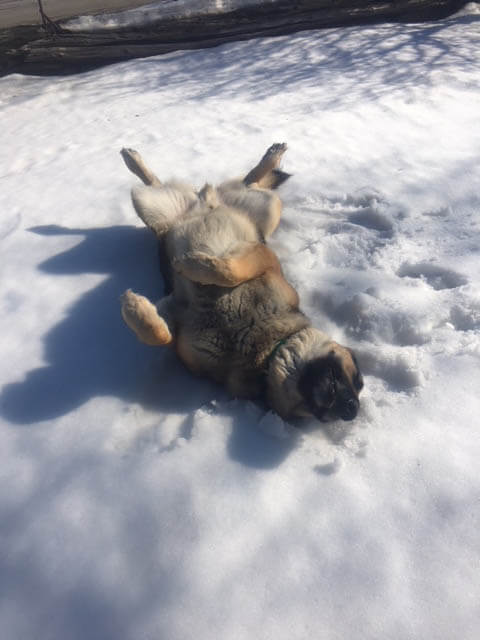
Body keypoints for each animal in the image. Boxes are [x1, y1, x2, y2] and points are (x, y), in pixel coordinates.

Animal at [118, 144, 362, 420]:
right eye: (356, 378)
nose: (353, 409)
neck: (263, 351)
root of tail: (209, 199)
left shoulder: (179, 323)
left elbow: (160, 335)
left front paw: (135, 308)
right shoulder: (265, 259)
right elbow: (229, 271)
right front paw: (192, 265)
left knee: (244, 183)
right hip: (251, 211)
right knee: (248, 181)